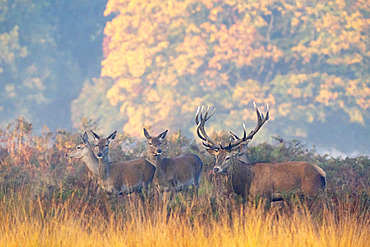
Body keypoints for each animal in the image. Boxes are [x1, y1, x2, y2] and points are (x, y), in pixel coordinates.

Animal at [195, 103, 326, 202]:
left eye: (228, 157)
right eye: (216, 157)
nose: (216, 168)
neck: (246, 183)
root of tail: (322, 173)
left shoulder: (266, 196)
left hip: (313, 193)